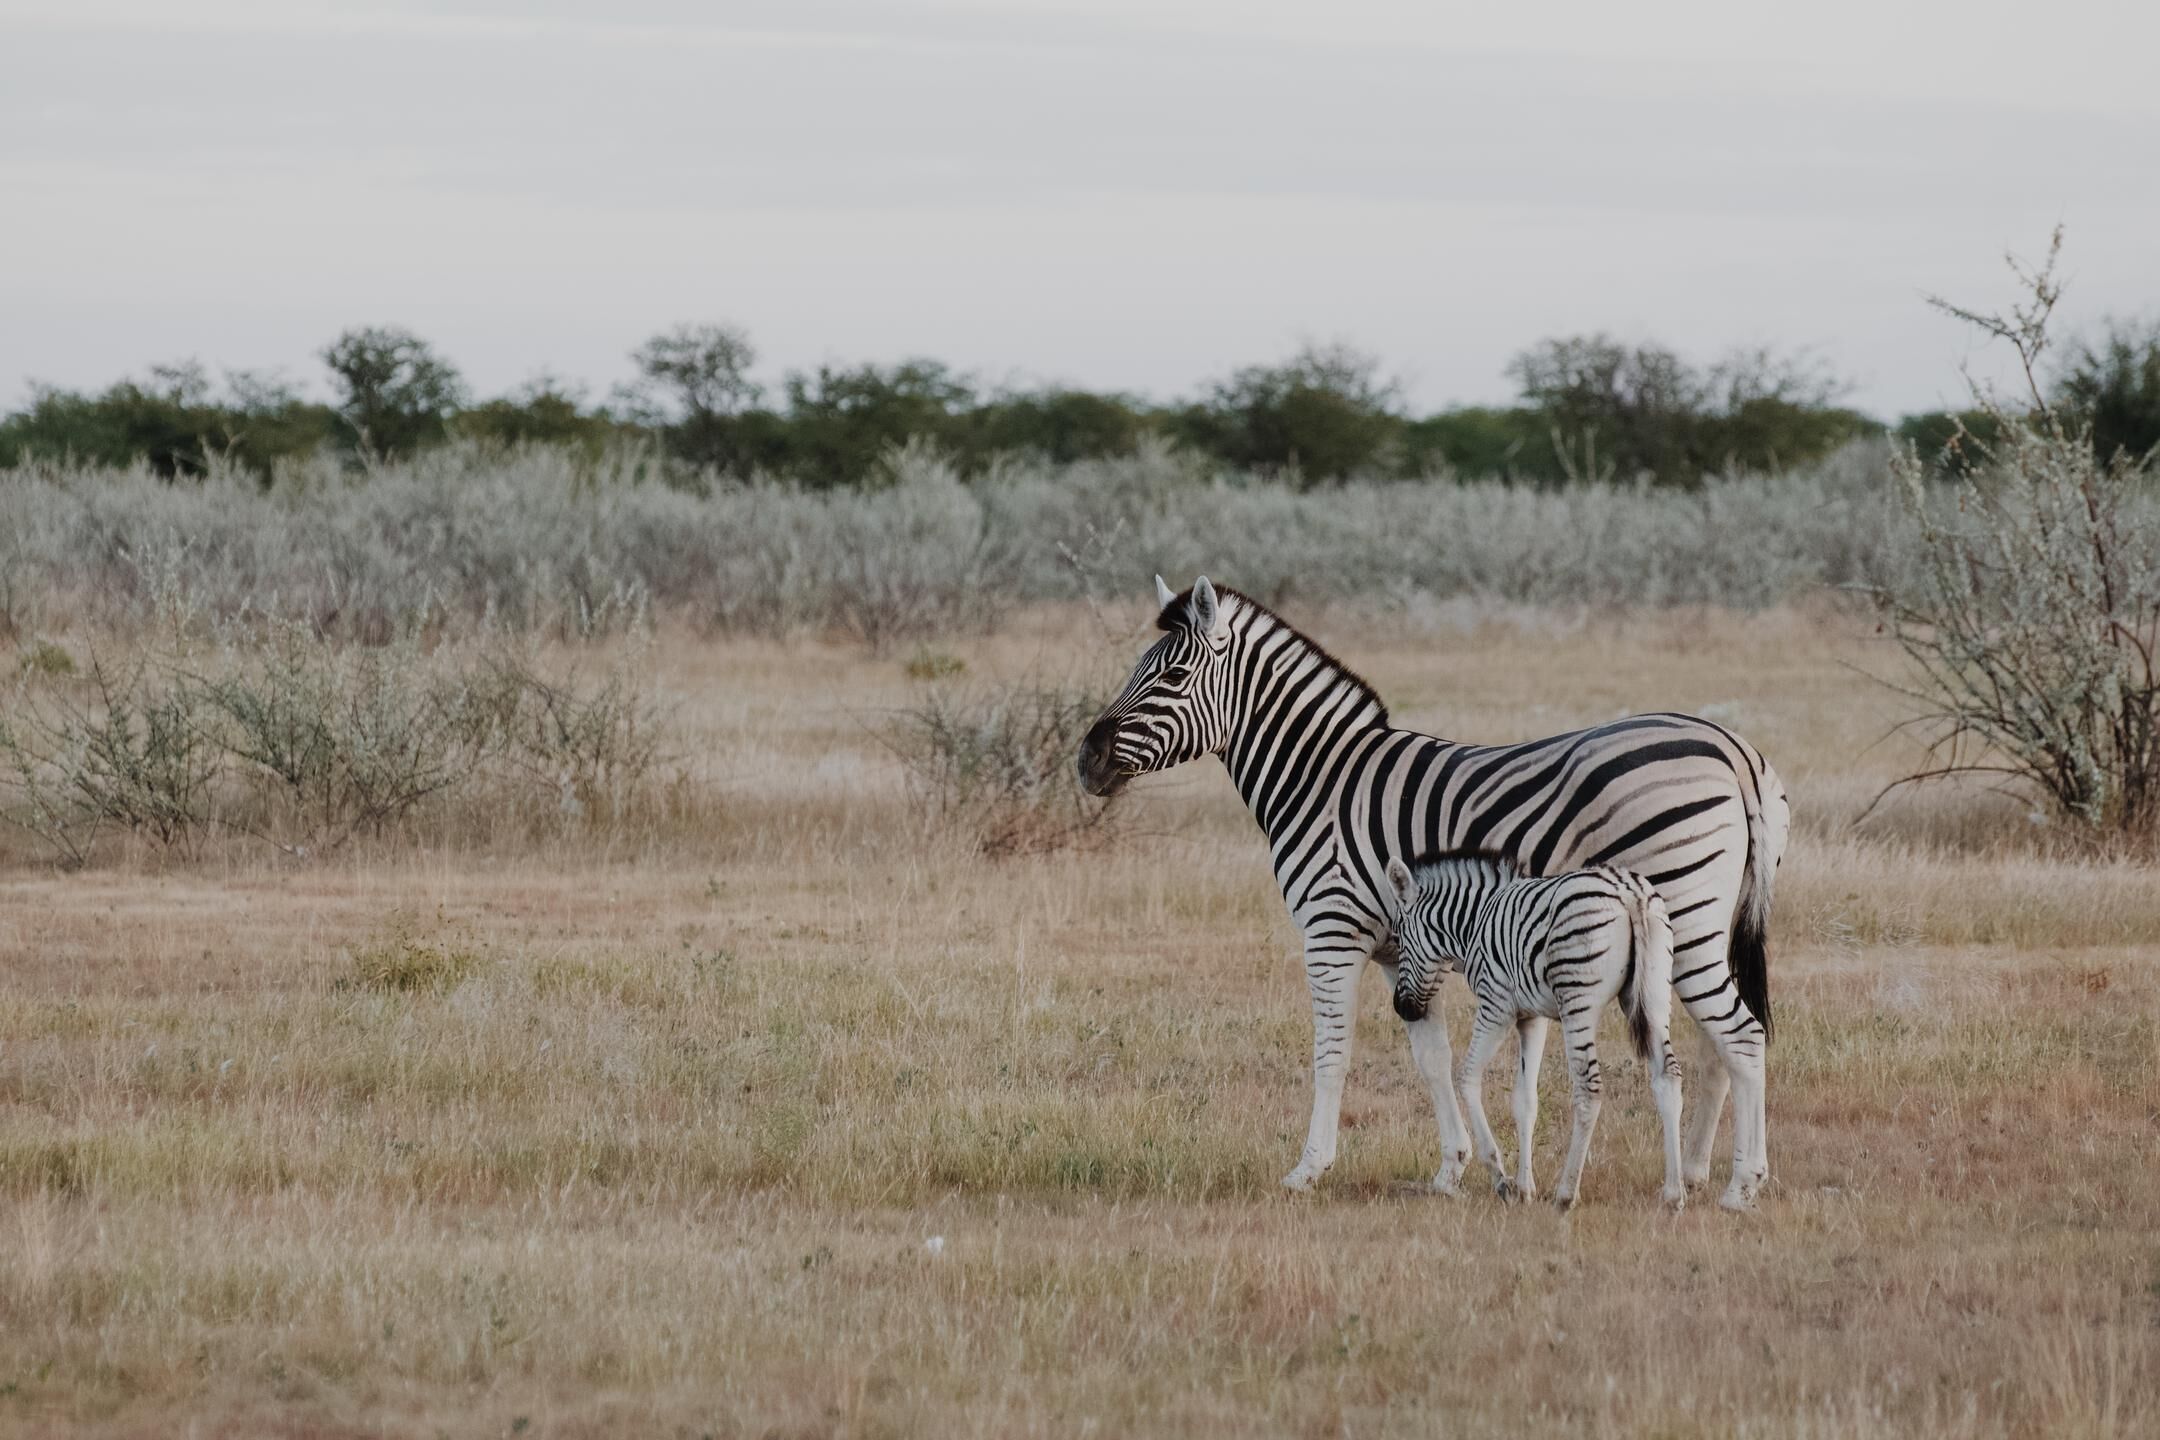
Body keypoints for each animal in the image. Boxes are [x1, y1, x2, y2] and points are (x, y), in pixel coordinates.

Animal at [1383, 852, 1685, 1211]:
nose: (1402, 1008)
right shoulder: (1532, 1018)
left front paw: (1501, 1178)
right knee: (1668, 1077)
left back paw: (1566, 1194)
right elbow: (1525, 1100)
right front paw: (1525, 1188)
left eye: (1399, 937)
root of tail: (1629, 893)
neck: (1473, 923)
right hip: (1654, 994)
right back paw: (1673, 1195)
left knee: (1589, 1087)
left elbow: (1467, 1076)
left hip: (1577, 999)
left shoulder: (1495, 1005)